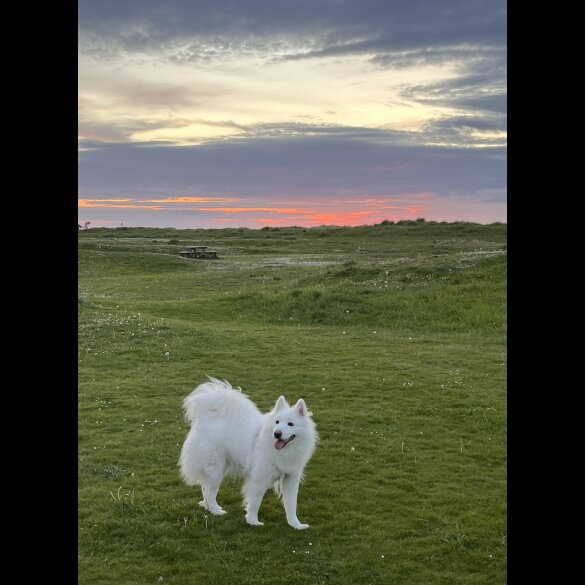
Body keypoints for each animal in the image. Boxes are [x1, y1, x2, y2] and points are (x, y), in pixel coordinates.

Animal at [179, 378, 320, 528]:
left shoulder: (291, 478)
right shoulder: (259, 479)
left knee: (205, 489)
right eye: (277, 422)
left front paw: (296, 525)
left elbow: (291, 504)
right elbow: (255, 502)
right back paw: (216, 511)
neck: (284, 451)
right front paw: (253, 521)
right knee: (209, 492)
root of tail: (206, 418)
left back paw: (209, 508)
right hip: (215, 469)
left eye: (290, 424)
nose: (277, 434)